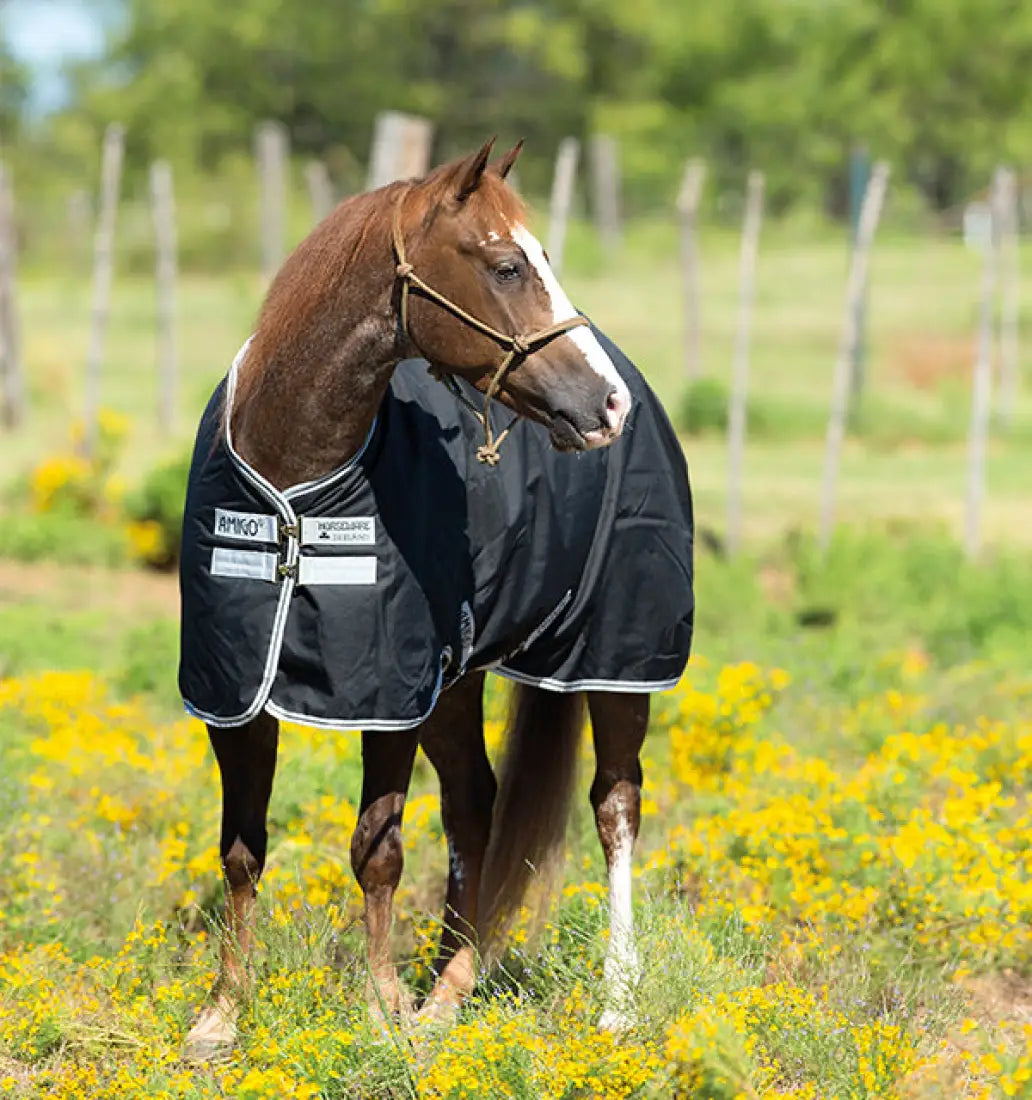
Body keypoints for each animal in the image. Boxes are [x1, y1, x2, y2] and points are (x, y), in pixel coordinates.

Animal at [178, 138, 694, 1060]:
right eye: (506, 265)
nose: (607, 403)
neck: (294, 488)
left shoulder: (385, 701)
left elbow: (376, 850)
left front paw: (382, 1013)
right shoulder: (235, 696)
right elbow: (242, 849)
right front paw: (221, 1017)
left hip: (617, 662)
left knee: (615, 805)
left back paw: (616, 1002)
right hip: (456, 681)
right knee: (474, 806)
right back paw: (449, 991)